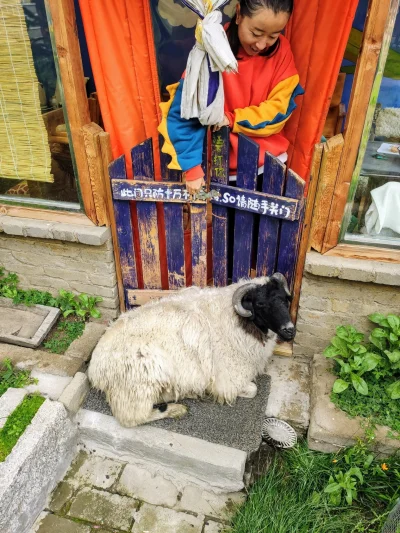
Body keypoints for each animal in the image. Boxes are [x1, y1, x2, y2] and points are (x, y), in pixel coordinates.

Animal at [88, 272, 294, 426]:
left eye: (286, 299)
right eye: (260, 304)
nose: (290, 330)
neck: (238, 320)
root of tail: (95, 369)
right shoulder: (227, 380)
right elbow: (253, 390)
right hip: (139, 381)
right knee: (132, 418)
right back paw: (176, 409)